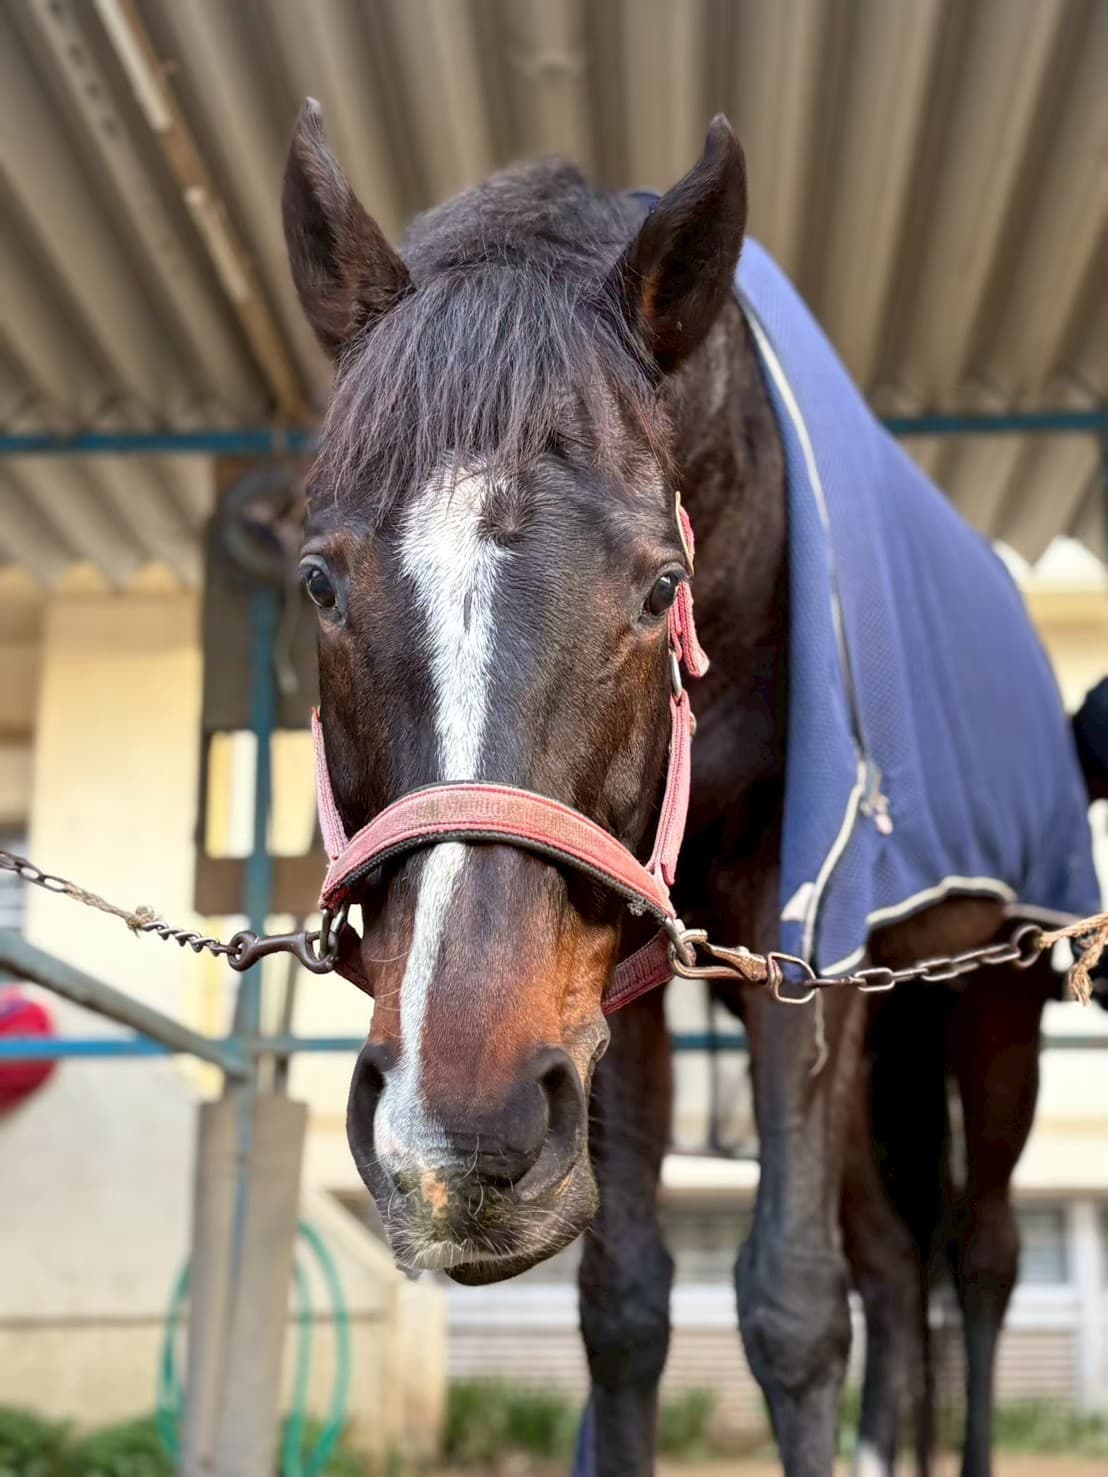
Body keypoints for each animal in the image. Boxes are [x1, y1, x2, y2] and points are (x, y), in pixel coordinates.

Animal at [280, 102, 1099, 1477]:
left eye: (662, 586)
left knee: (977, 1260)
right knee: (895, 1263)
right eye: (317, 582)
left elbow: (792, 1306)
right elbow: (626, 1308)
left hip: (994, 1001)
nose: (459, 1137)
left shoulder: (800, 921)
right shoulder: (607, 977)